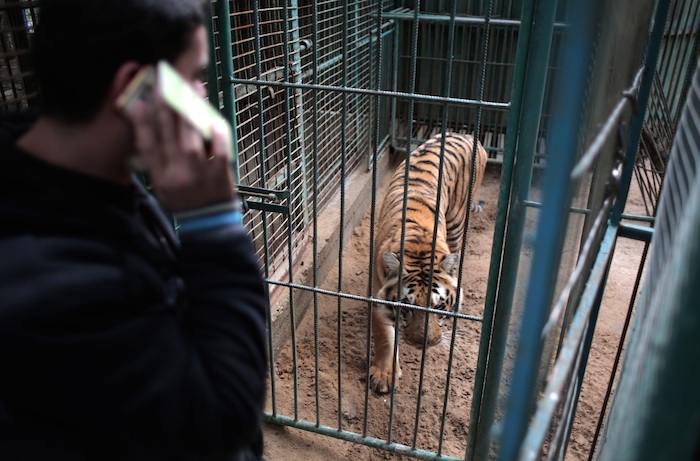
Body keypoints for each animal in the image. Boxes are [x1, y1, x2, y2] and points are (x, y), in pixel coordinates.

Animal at [372, 131, 486, 394]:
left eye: (439, 306)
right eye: (407, 307)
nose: (423, 344)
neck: (419, 248)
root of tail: (465, 133)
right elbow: (384, 335)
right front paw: (384, 374)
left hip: (456, 224)